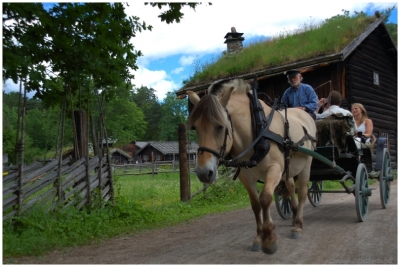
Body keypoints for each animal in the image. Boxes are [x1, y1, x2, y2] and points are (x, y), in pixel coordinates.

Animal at [187, 79, 316, 255]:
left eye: (220, 126)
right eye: (195, 127)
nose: (203, 172)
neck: (257, 129)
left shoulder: (275, 169)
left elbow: (265, 199)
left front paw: (269, 238)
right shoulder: (246, 177)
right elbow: (255, 204)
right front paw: (259, 236)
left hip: (306, 165)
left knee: (302, 192)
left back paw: (298, 226)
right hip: (288, 170)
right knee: (290, 187)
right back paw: (294, 214)